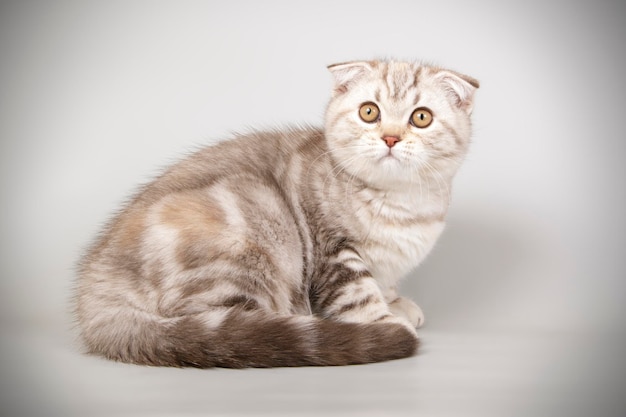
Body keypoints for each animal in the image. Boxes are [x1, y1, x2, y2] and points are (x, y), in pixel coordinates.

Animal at [75, 59, 480, 368]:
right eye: (369, 112)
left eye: (421, 117)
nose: (391, 138)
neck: (399, 204)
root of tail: (96, 288)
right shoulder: (333, 251)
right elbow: (358, 292)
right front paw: (383, 321)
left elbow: (383, 282)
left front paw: (395, 301)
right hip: (251, 228)